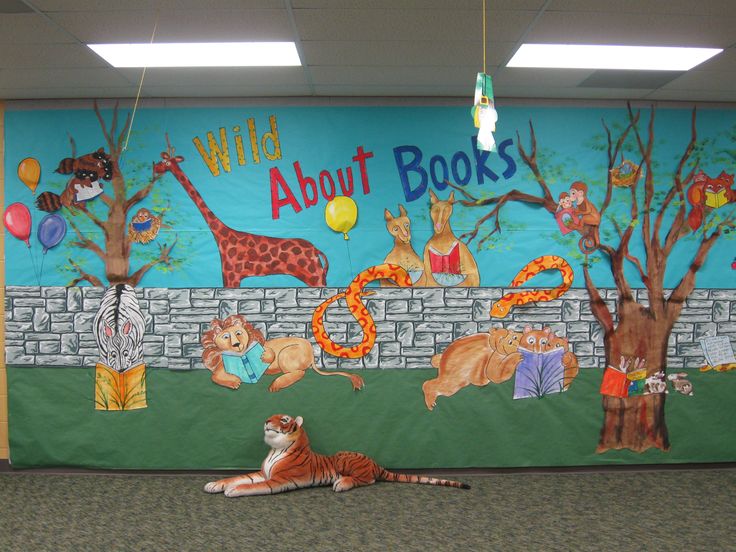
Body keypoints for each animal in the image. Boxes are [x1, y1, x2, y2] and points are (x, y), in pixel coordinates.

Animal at [152, 147, 328, 286]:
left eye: (165, 162)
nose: (155, 168)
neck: (221, 236)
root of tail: (317, 251)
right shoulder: (229, 277)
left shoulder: (232, 276)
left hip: (314, 277)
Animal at [200, 314, 364, 392]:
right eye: (225, 336)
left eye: (238, 333)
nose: (236, 344)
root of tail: (311, 353)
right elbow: (215, 376)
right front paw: (234, 381)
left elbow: (270, 352)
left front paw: (264, 356)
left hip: (286, 353)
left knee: (299, 373)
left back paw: (276, 384)